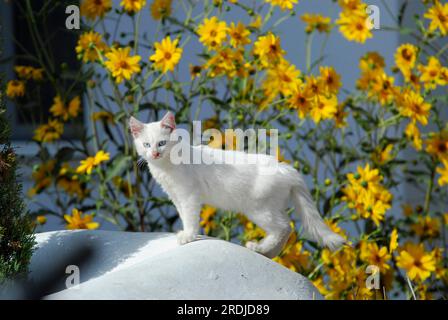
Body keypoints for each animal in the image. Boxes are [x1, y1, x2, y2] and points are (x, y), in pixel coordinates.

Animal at [130, 111, 346, 258]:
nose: (154, 153)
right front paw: (186, 233)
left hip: (258, 209)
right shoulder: (176, 197)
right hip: (270, 207)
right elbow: (184, 216)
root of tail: (286, 168)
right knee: (285, 228)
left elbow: (190, 218)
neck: (166, 166)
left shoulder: (189, 196)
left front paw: (189, 235)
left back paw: (259, 247)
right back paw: (268, 253)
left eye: (161, 143)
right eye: (147, 145)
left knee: (284, 228)